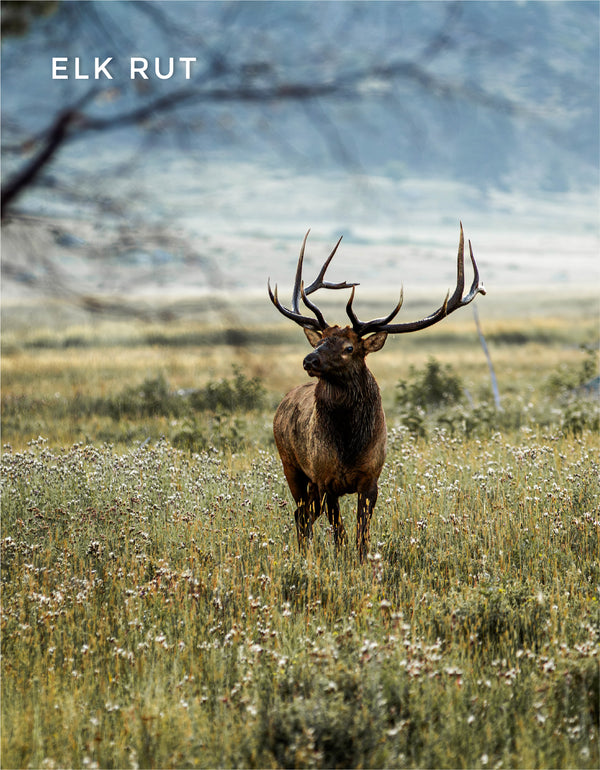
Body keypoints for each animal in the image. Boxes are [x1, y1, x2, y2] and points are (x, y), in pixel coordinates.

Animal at [268, 224, 485, 561]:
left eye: (349, 347)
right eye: (320, 339)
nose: (309, 360)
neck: (349, 445)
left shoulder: (371, 479)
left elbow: (362, 534)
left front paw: (362, 561)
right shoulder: (326, 478)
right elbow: (340, 532)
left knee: (303, 515)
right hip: (292, 465)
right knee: (301, 514)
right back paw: (305, 555)